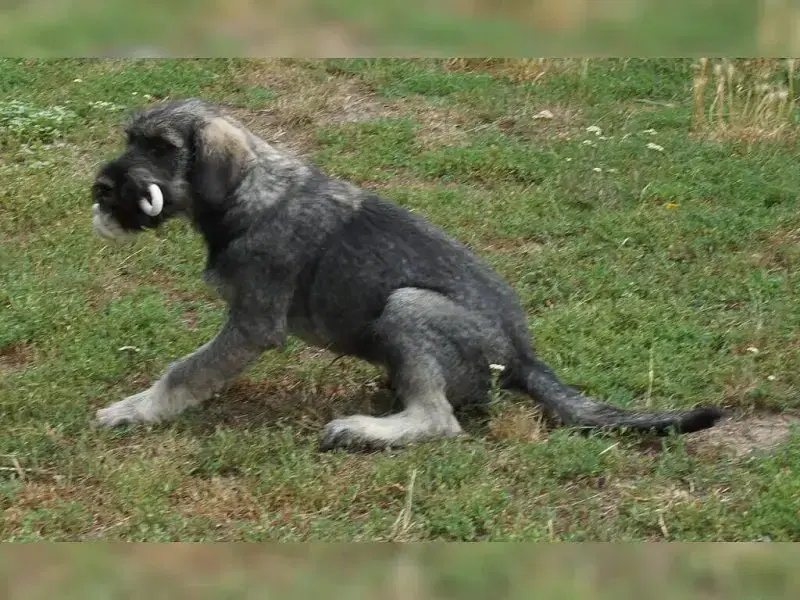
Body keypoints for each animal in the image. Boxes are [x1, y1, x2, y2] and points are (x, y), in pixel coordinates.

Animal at [90, 98, 724, 451]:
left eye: (162, 147)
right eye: (130, 138)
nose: (100, 188)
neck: (248, 192)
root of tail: (524, 359)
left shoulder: (251, 324)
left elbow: (184, 371)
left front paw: (133, 410)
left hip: (408, 306)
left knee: (438, 420)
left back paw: (362, 431)